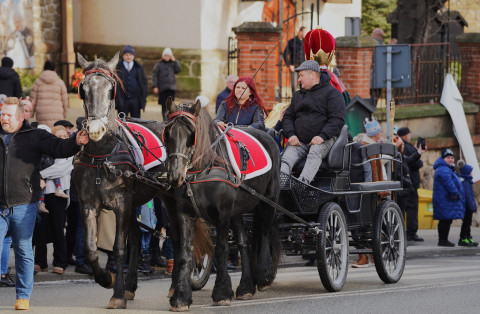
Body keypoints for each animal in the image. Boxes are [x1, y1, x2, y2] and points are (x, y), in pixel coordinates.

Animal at [72, 53, 211, 310]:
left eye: (111, 90)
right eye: (82, 89)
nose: (95, 129)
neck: (103, 154)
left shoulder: (122, 204)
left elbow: (118, 248)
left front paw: (116, 294)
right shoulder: (89, 204)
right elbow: (91, 249)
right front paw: (106, 279)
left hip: (169, 198)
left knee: (177, 238)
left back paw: (175, 287)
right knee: (137, 240)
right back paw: (130, 286)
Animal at [162, 99, 282, 310]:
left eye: (192, 134)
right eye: (167, 133)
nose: (175, 176)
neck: (203, 168)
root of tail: (269, 137)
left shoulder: (222, 214)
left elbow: (221, 249)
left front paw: (222, 293)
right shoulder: (185, 213)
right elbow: (185, 252)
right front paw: (181, 297)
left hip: (268, 201)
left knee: (265, 233)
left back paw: (264, 276)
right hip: (238, 211)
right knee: (244, 241)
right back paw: (246, 287)